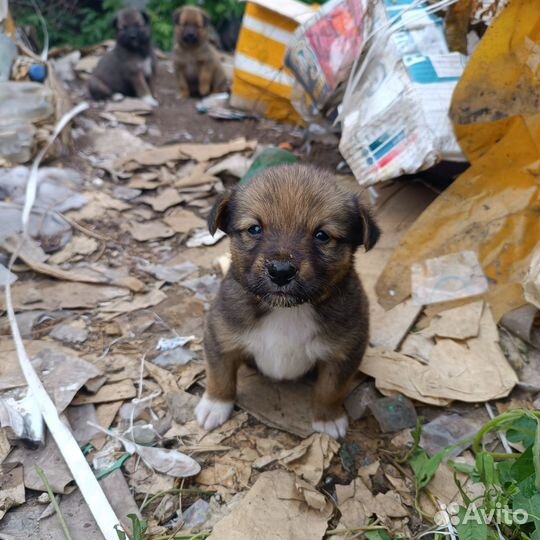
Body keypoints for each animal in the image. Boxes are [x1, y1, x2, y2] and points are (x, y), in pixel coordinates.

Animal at [196, 165, 382, 438]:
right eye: (254, 229)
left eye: (322, 235)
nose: (281, 271)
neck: (286, 311)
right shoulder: (220, 335)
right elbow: (220, 375)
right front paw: (215, 405)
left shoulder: (344, 351)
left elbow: (330, 389)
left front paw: (328, 418)